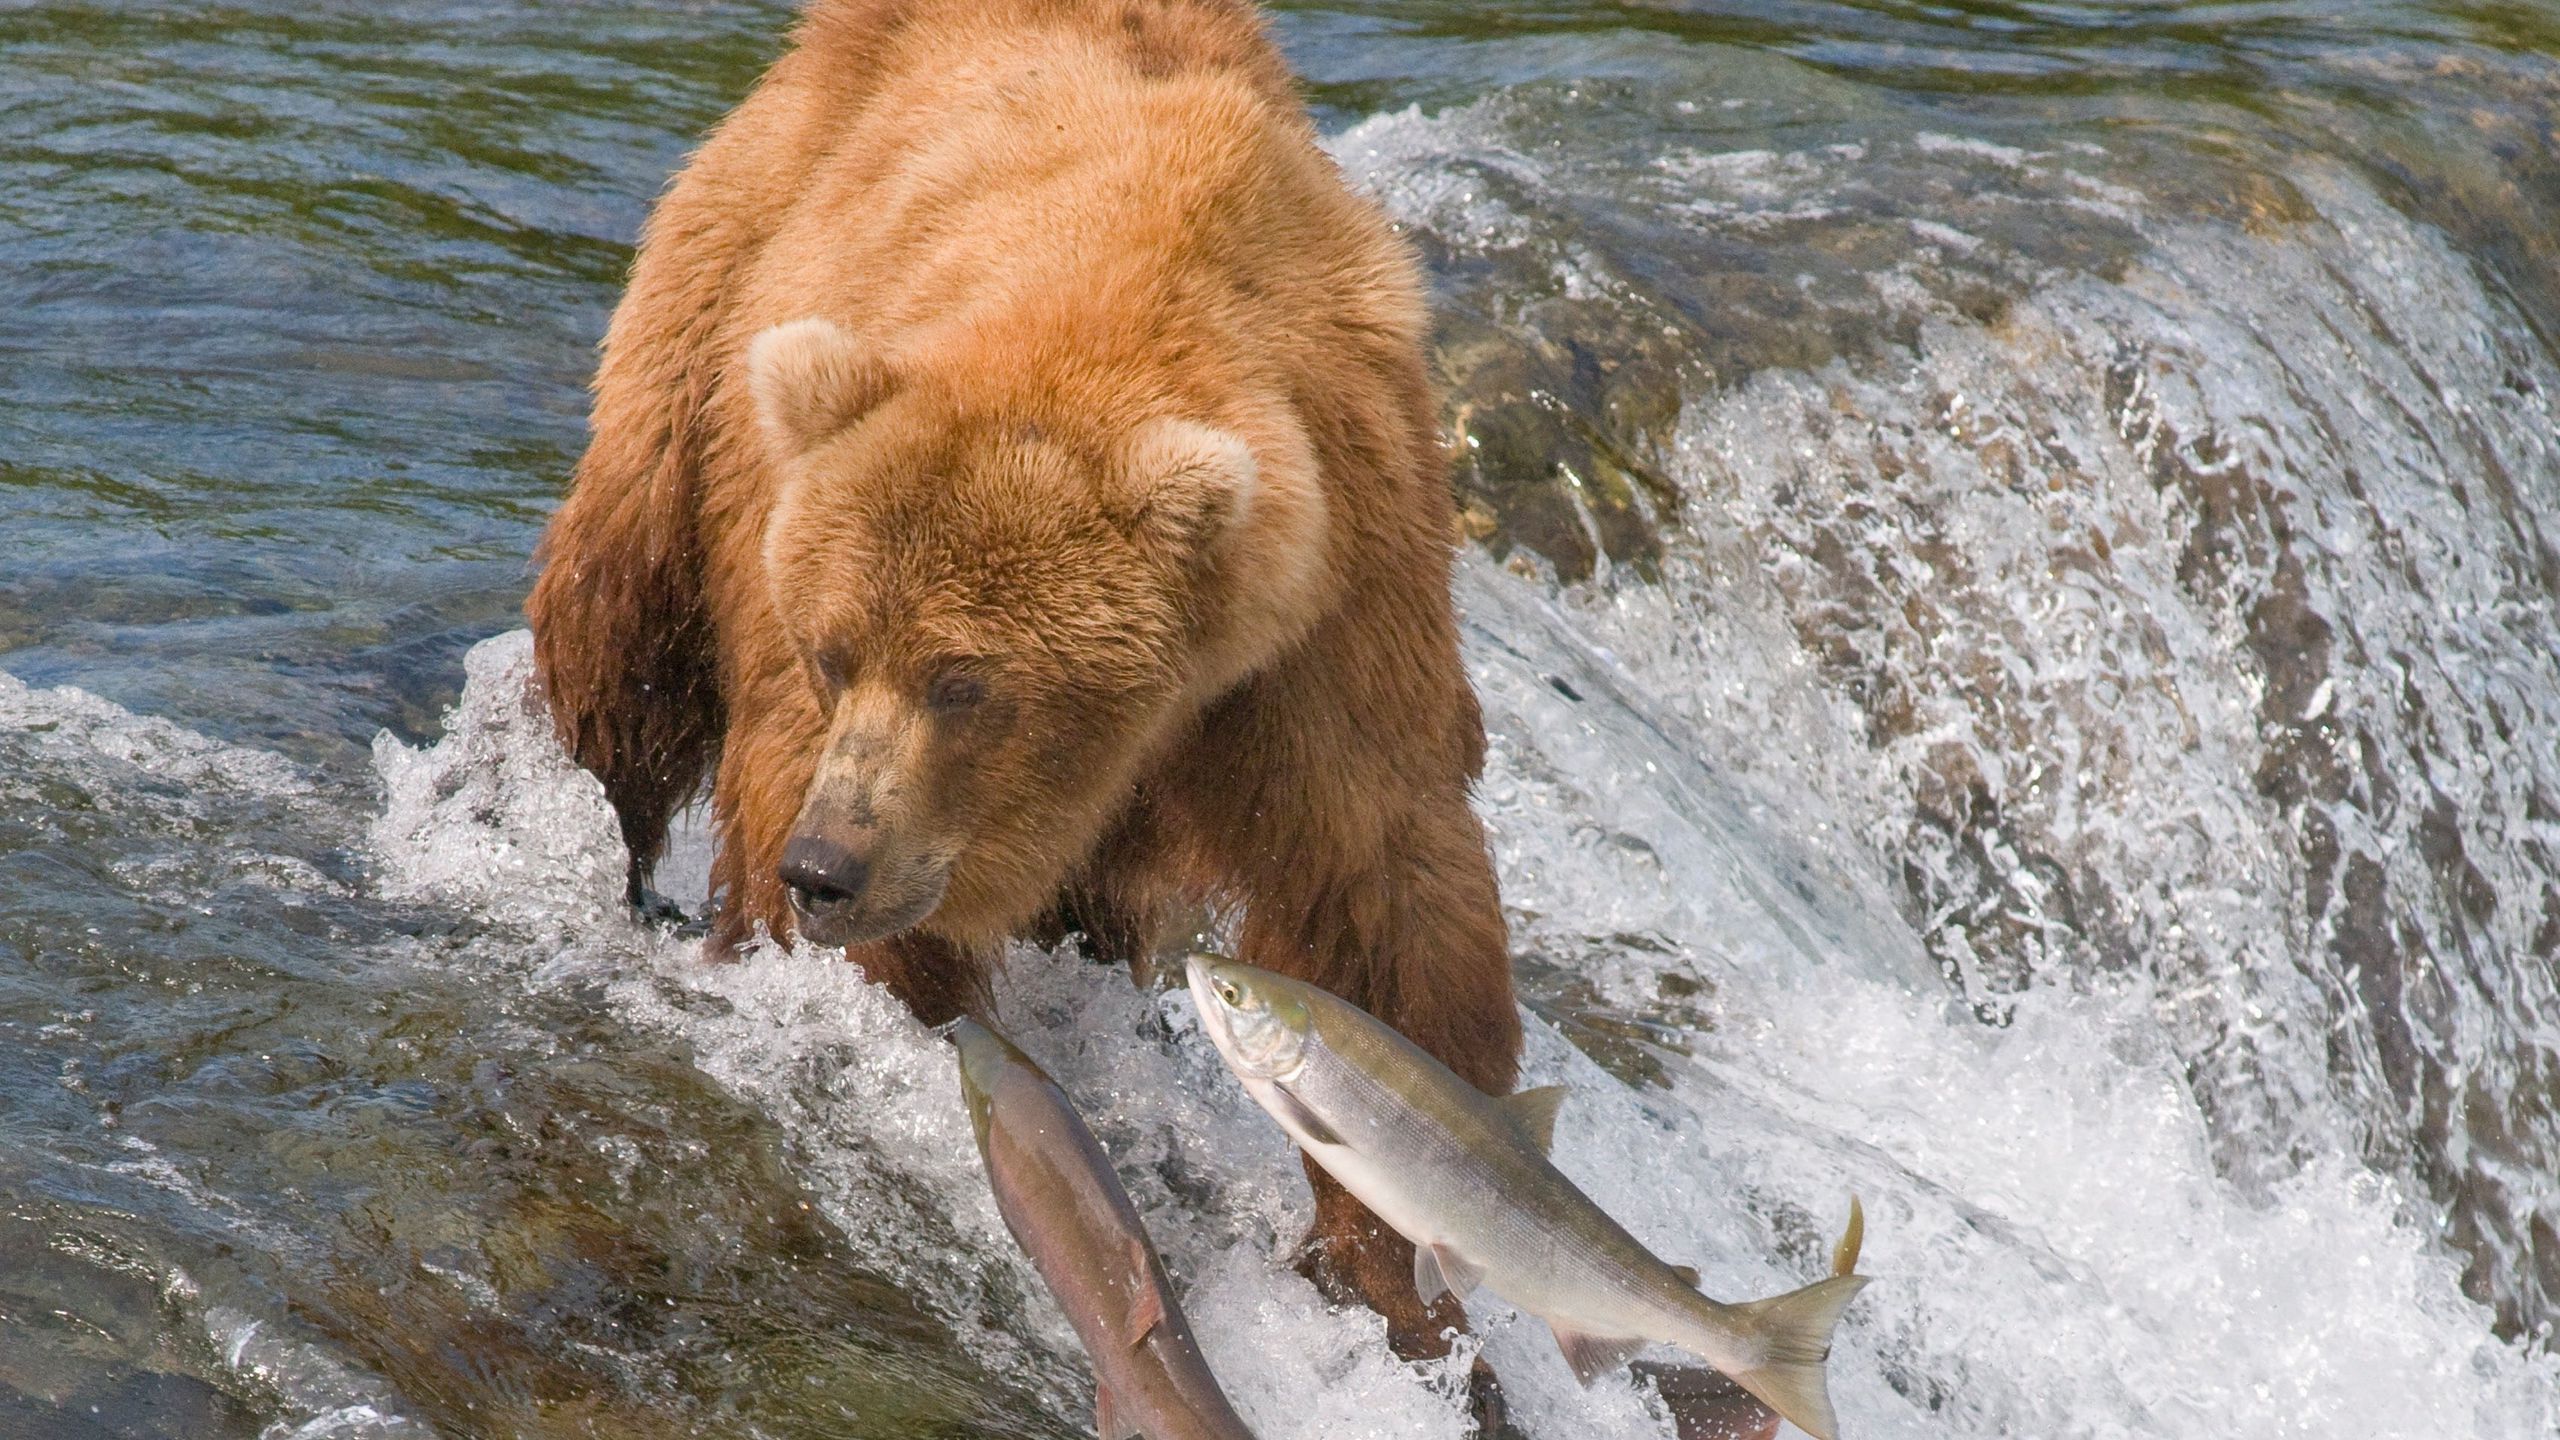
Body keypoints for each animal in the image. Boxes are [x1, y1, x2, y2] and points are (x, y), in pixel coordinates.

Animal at [522, 0, 1515, 1393]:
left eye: (965, 680)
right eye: (834, 652)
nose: (828, 868)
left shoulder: (1330, 610)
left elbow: (1379, 903)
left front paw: (1399, 1278)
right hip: (715, 304)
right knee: (623, 624)